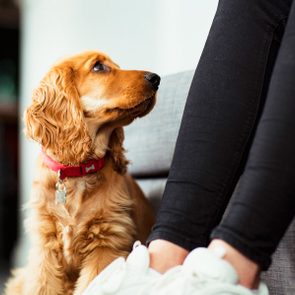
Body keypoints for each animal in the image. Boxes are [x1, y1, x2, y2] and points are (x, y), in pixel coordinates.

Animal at [5, 51, 160, 295]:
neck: (76, 172)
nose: (156, 78)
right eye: (98, 67)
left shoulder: (106, 244)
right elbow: (41, 286)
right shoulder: (44, 247)